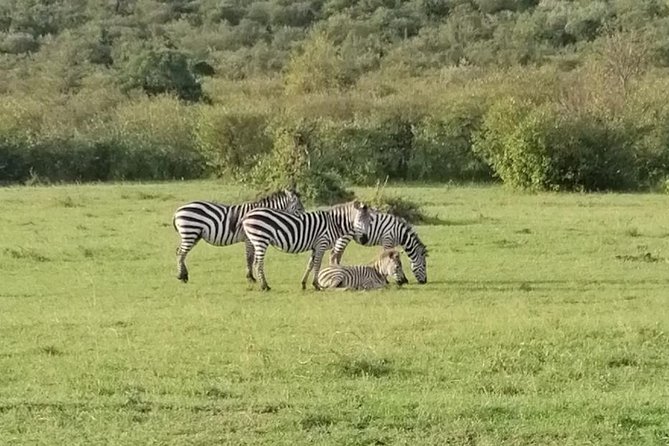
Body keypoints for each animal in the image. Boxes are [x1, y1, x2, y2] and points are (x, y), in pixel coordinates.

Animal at [171, 188, 304, 282]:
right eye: (299, 208)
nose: (304, 218)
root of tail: (178, 211)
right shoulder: (249, 239)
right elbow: (249, 257)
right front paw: (251, 278)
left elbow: (251, 257)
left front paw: (251, 276)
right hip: (190, 232)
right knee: (180, 253)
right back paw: (181, 276)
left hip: (194, 235)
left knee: (180, 252)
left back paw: (184, 275)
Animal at [243, 200, 374, 290]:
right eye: (359, 220)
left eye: (370, 221)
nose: (364, 239)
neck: (333, 223)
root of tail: (247, 215)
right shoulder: (321, 243)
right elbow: (317, 265)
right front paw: (316, 285)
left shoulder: (315, 246)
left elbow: (310, 265)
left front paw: (304, 284)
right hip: (261, 240)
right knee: (258, 264)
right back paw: (265, 286)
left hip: (257, 241)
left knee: (256, 262)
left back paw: (262, 284)